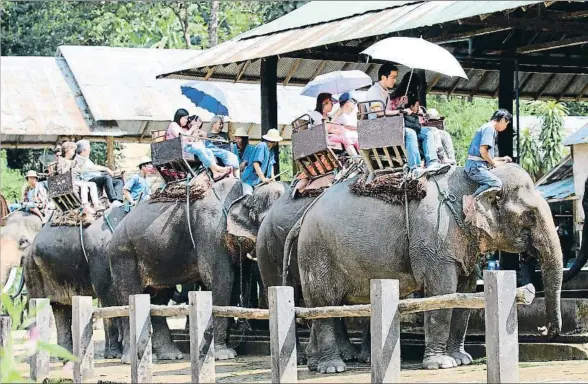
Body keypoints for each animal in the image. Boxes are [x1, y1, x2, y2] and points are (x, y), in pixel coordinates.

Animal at [24, 206, 128, 358]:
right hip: (32, 269)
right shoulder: (100, 256)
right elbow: (107, 297)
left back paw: (65, 355)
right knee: (39, 304)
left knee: (59, 307)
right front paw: (114, 355)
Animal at [108, 178, 288, 364]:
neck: (247, 192)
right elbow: (222, 281)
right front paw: (224, 354)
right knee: (130, 295)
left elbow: (235, 285)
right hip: (123, 254)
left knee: (159, 299)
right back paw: (130, 359)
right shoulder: (209, 233)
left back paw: (170, 355)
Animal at [292, 164, 564, 372]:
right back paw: (332, 367)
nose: (542, 330)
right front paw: (441, 364)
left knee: (321, 307)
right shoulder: (435, 241)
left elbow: (464, 293)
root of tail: (306, 212)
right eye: (530, 215)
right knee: (324, 304)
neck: (474, 181)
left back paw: (315, 364)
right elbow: (442, 293)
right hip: (316, 252)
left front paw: (462, 360)